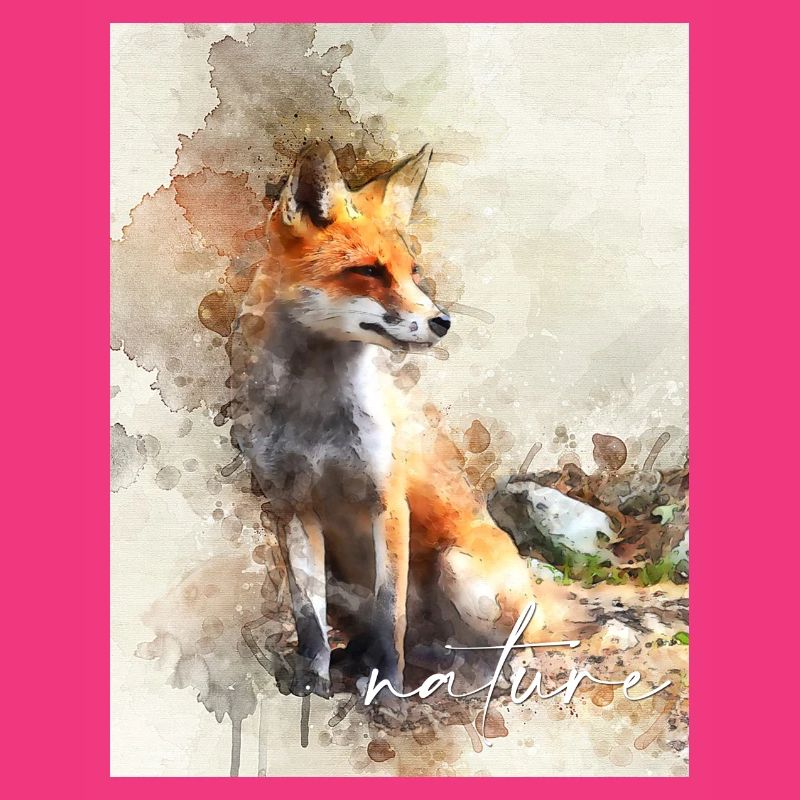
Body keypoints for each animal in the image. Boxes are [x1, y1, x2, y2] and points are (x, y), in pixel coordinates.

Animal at [226, 141, 582, 701]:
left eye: (413, 271)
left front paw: (387, 687)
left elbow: (389, 612)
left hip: (462, 571)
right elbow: (309, 618)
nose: (443, 321)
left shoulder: (388, 502)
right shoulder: (291, 508)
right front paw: (312, 682)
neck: (315, 419)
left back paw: (484, 677)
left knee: (509, 644)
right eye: (369, 271)